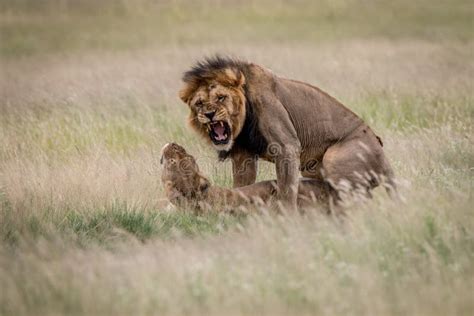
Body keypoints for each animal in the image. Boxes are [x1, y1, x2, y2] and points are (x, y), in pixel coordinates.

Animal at [180, 56, 394, 210]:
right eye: (199, 103)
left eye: (221, 98)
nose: (209, 114)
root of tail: (385, 161)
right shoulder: (243, 155)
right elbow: (241, 185)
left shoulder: (286, 145)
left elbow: (287, 188)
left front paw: (287, 218)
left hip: (335, 157)